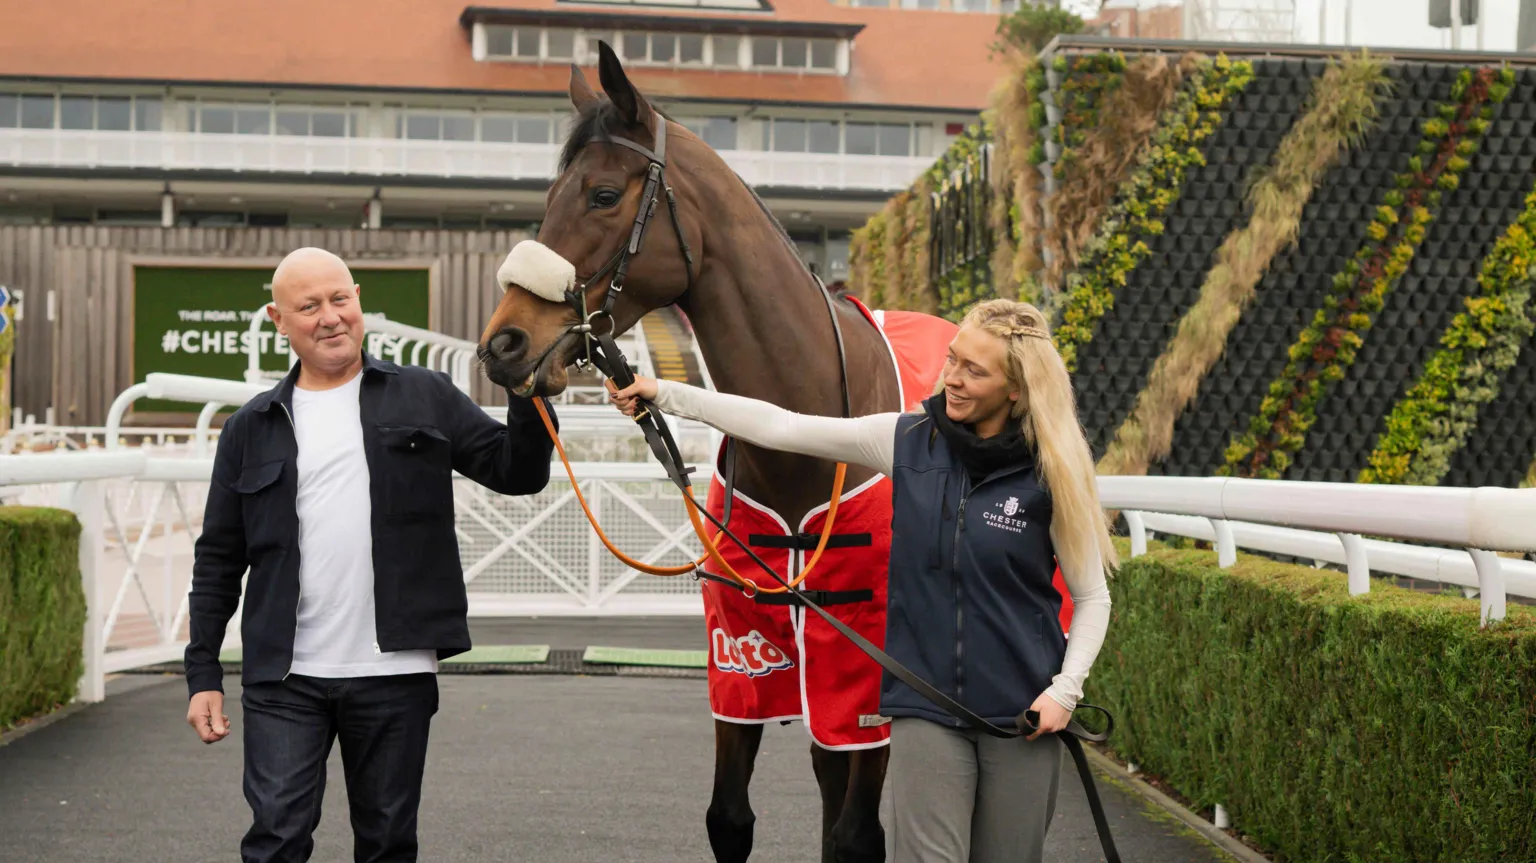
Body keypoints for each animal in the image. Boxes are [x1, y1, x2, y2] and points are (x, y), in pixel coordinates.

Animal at [477, 43, 915, 863]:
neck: (807, 434)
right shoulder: (742, 651)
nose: (503, 344)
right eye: (549, 196)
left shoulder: (869, 675)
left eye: (602, 194)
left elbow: (853, 835)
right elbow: (730, 817)